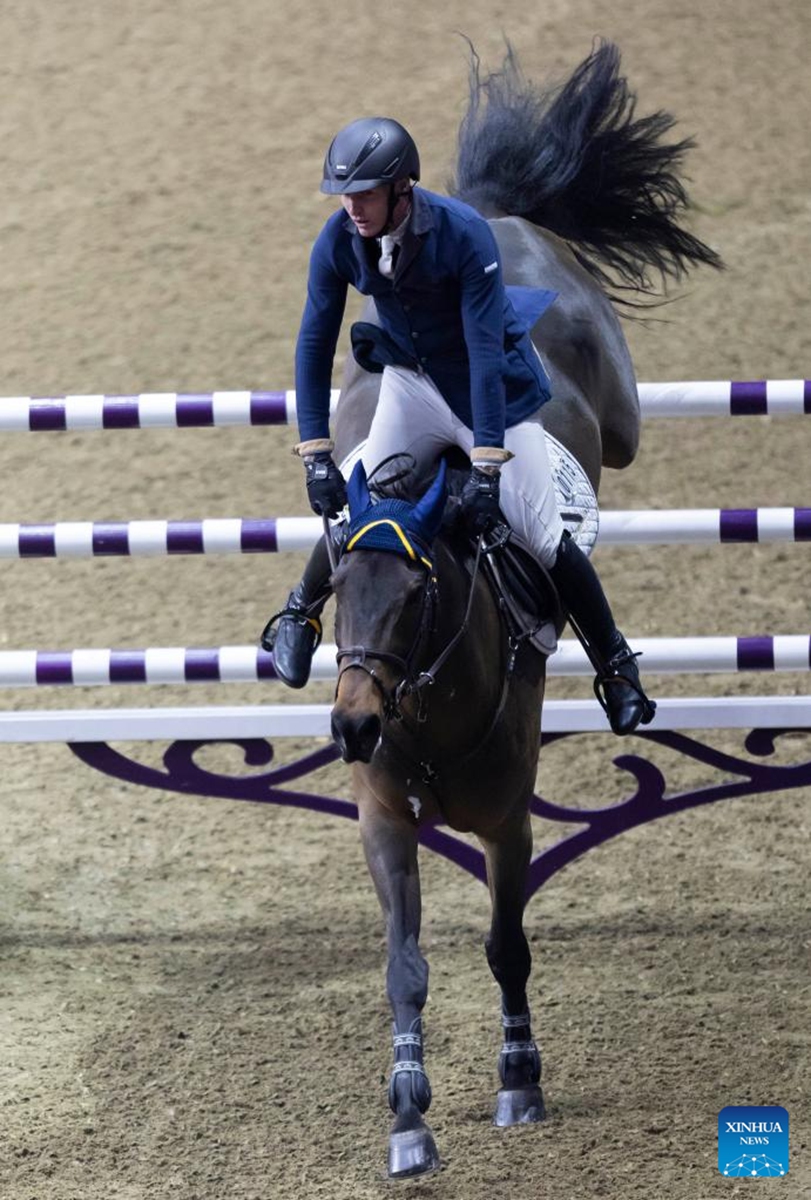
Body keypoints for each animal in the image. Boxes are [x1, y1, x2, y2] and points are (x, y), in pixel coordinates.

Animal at [325, 41, 721, 1178]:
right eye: (335, 589)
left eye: (417, 594)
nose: (353, 723)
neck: (426, 707)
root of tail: (495, 214)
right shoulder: (382, 817)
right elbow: (405, 963)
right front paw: (407, 1115)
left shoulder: (507, 818)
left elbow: (505, 943)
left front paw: (517, 1079)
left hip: (616, 415)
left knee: (614, 448)